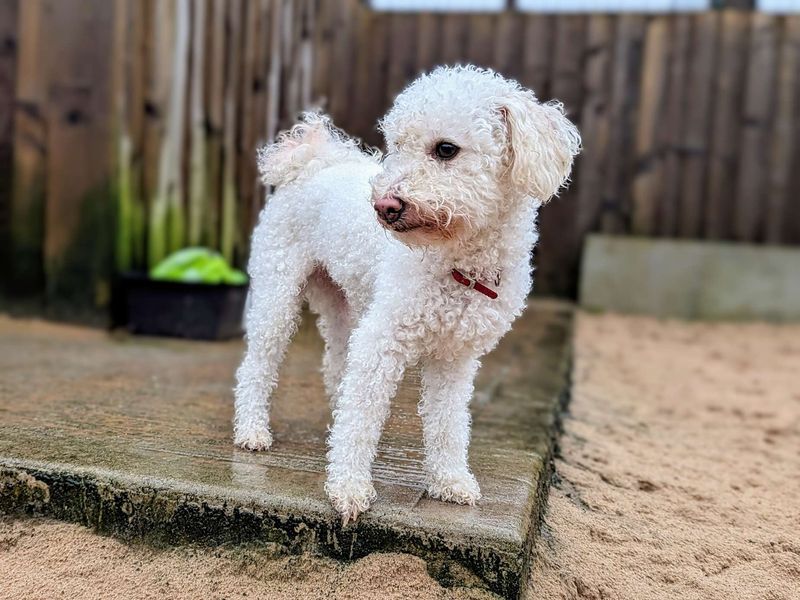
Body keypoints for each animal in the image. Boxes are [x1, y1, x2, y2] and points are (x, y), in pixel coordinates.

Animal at [234, 67, 580, 524]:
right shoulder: (381, 341)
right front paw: (348, 486)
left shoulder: (455, 358)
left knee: (337, 367)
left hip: (343, 305)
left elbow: (447, 422)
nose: (384, 206)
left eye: (446, 149)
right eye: (397, 146)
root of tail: (312, 161)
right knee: (257, 366)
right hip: (278, 293)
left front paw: (450, 480)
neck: (460, 264)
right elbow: (363, 415)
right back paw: (252, 430)